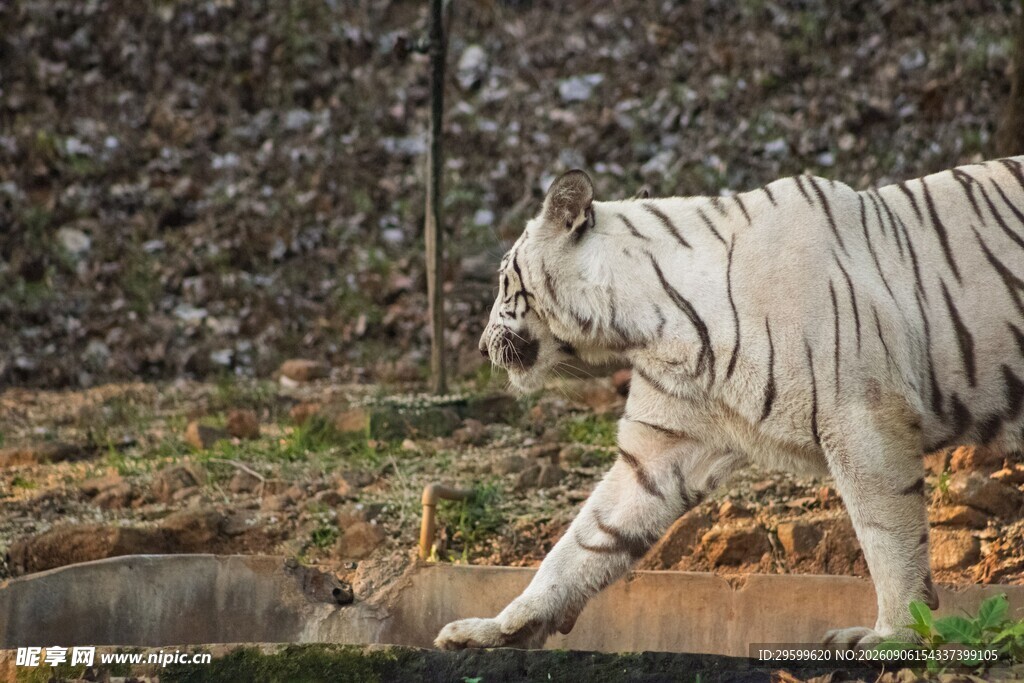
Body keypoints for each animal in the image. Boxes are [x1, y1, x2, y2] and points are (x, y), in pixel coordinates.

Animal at [434, 156, 1024, 651]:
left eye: (503, 279)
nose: (481, 344)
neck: (651, 323)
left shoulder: (865, 418)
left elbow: (887, 535)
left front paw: (892, 637)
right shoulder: (664, 446)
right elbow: (584, 542)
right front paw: (498, 629)